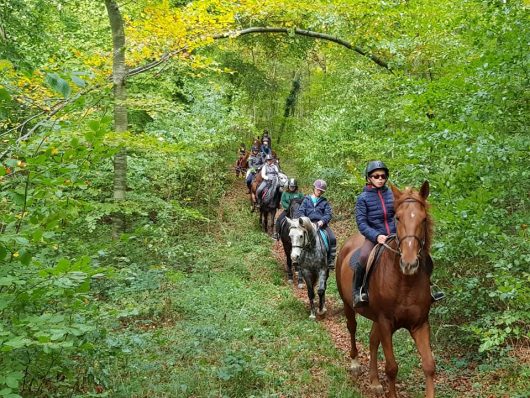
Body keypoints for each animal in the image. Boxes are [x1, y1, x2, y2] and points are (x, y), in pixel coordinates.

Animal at [334, 181, 434, 398]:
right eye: (397, 217)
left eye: (423, 219)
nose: (409, 263)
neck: (405, 283)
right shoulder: (386, 322)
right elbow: (391, 367)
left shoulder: (419, 324)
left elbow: (429, 365)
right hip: (349, 305)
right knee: (352, 327)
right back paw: (355, 363)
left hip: (375, 318)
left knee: (372, 341)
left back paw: (374, 381)